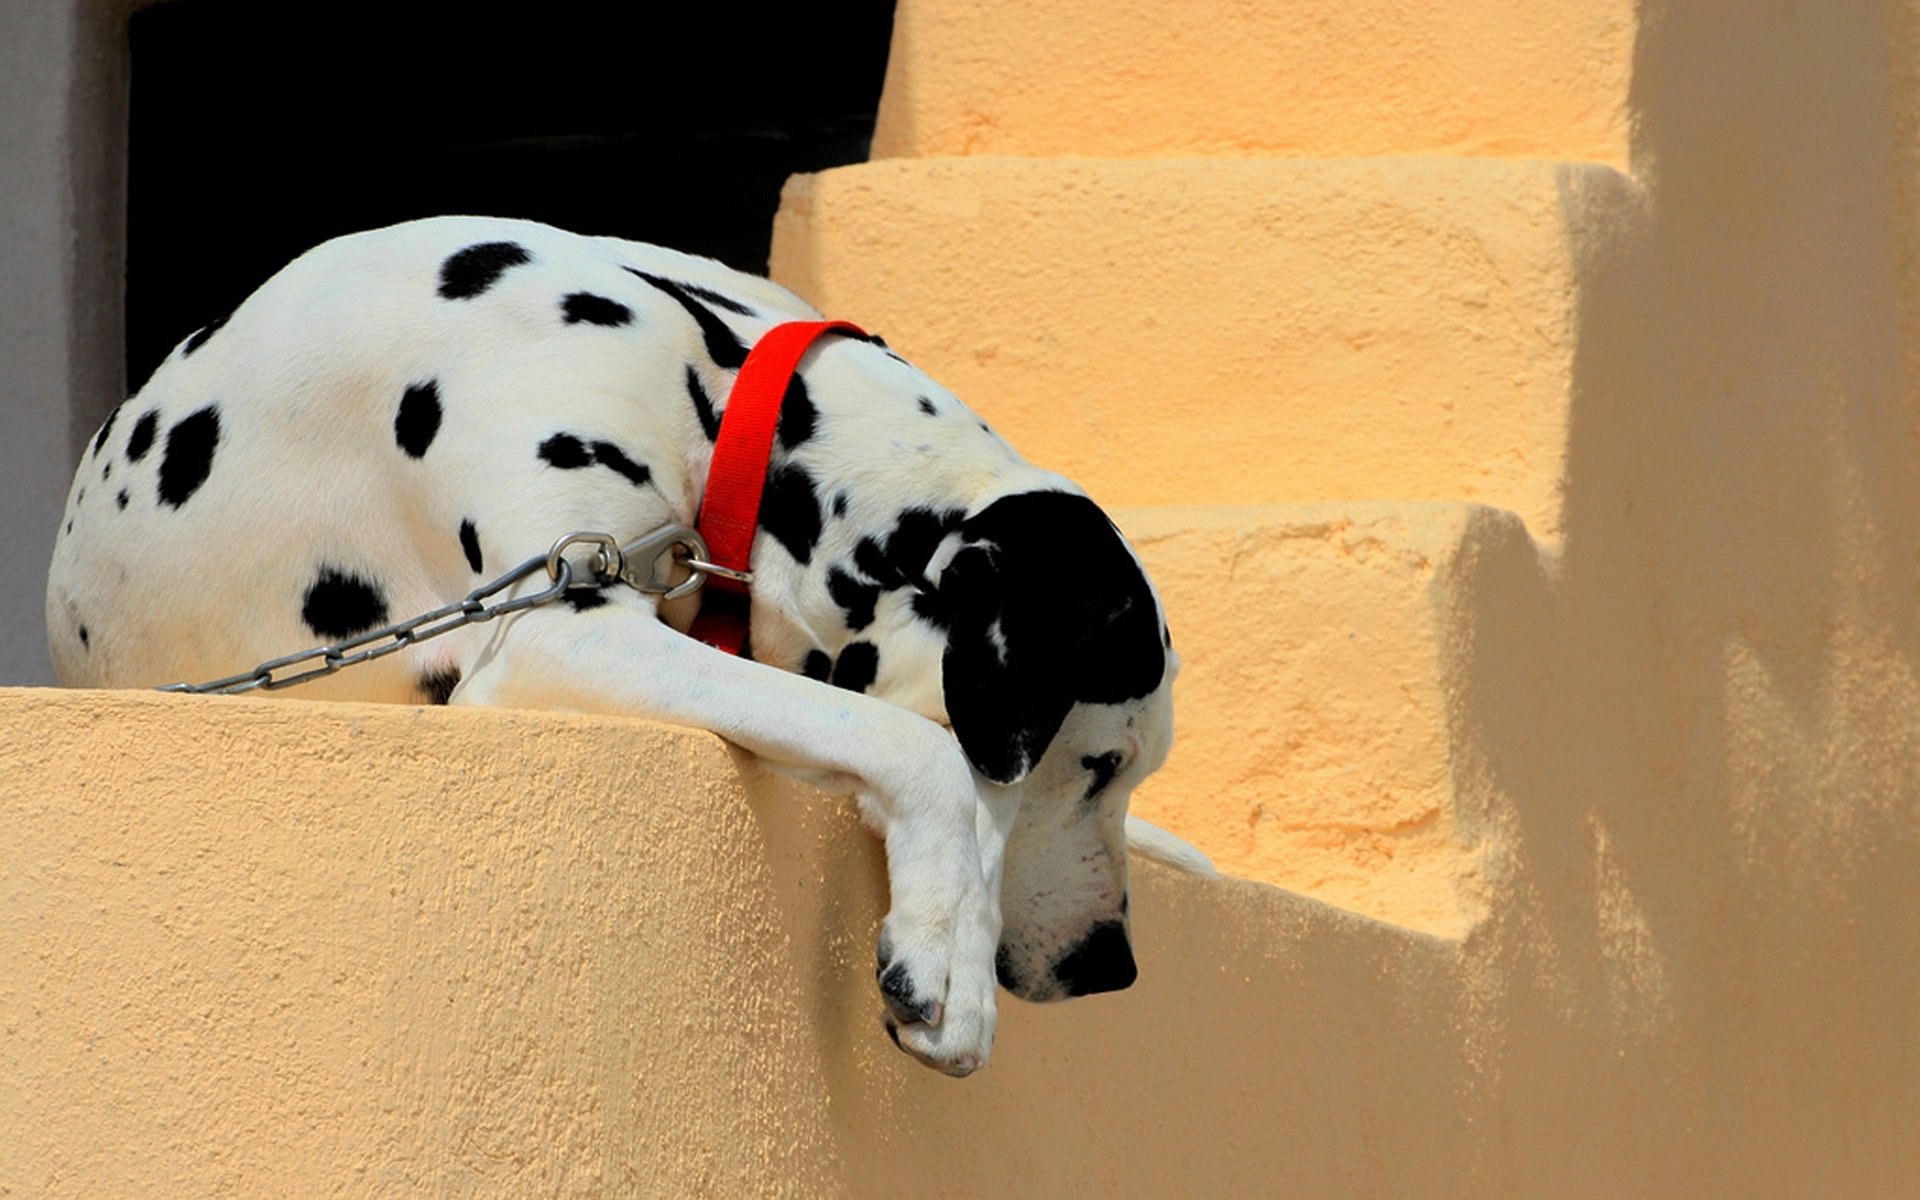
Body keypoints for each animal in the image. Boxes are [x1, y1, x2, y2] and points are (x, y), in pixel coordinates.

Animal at [48, 215, 1198, 1075]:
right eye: (1099, 763)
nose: (1114, 967)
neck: (713, 384)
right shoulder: (557, 630)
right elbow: (921, 750)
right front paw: (948, 955)